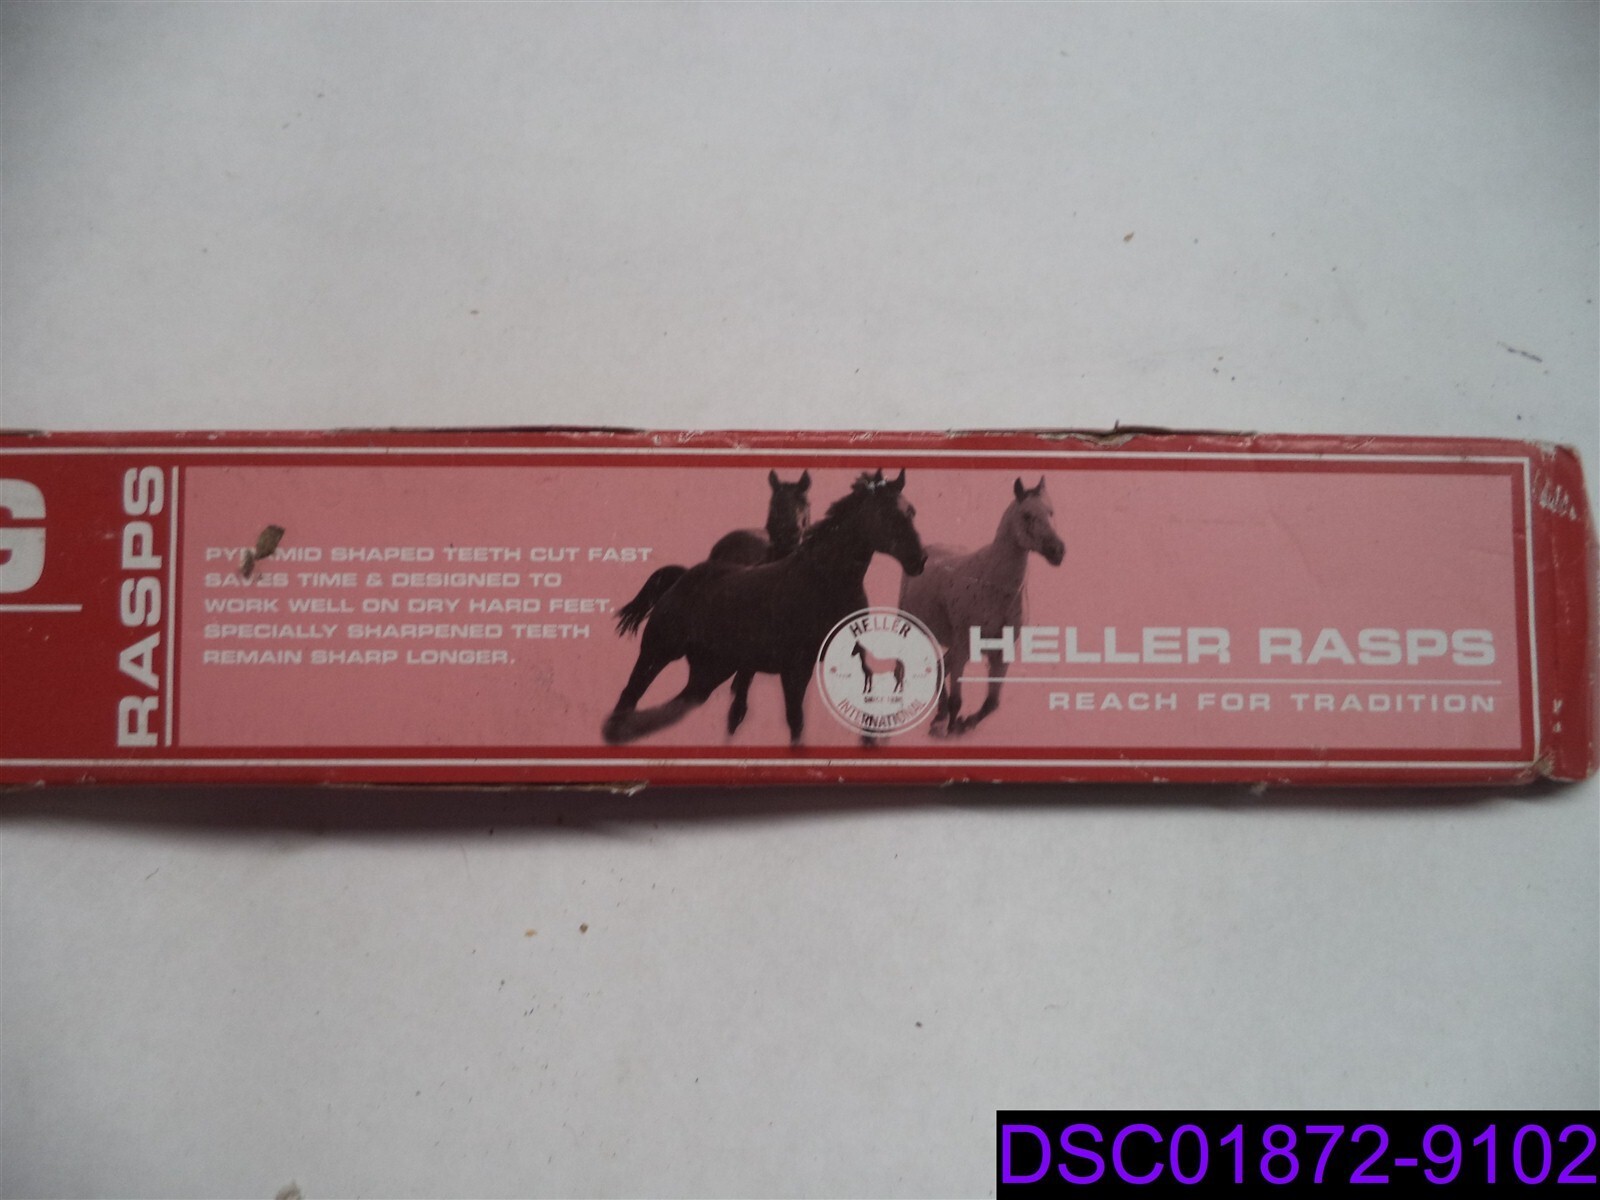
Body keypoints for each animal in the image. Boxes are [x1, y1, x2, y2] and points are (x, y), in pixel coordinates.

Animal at [602, 470, 927, 746]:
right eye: (885, 514)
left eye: (912, 511)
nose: (919, 559)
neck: (823, 582)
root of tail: (682, 576)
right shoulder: (794, 668)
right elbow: (796, 722)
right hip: (657, 653)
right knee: (629, 697)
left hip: (711, 669)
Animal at [897, 476, 1065, 735]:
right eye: (1027, 515)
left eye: (1051, 512)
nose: (1057, 551)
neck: (992, 586)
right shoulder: (964, 646)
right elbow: (957, 700)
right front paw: (953, 727)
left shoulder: (1001, 652)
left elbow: (991, 703)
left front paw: (963, 725)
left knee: (940, 666)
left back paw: (939, 716)